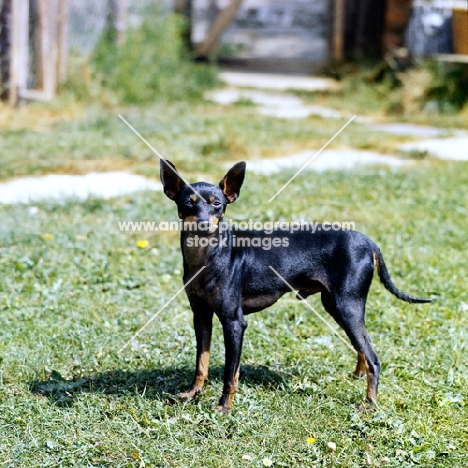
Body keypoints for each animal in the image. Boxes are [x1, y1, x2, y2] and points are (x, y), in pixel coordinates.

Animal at [160, 159, 432, 412]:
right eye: (188, 203)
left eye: (217, 204)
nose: (204, 224)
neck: (206, 255)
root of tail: (368, 242)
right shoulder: (201, 316)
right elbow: (201, 361)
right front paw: (192, 393)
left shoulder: (234, 322)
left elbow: (230, 372)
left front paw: (224, 406)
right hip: (336, 306)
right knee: (364, 346)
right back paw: (358, 376)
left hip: (347, 306)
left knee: (373, 357)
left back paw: (370, 403)